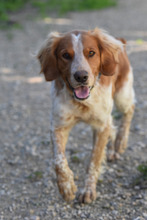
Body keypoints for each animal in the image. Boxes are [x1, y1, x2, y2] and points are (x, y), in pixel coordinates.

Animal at [37, 28, 135, 204]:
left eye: (91, 53)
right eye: (65, 55)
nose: (81, 76)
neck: (82, 102)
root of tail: (119, 41)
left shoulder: (101, 126)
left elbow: (93, 161)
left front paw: (88, 190)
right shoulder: (58, 126)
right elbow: (58, 160)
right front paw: (66, 187)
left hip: (122, 95)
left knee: (129, 110)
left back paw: (120, 143)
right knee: (113, 125)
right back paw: (112, 150)